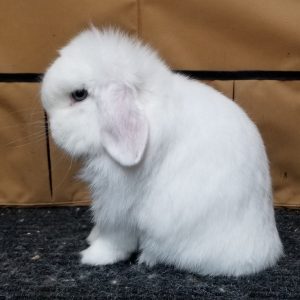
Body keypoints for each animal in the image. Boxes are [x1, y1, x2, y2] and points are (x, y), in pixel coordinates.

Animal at [41, 27, 282, 276]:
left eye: (79, 94)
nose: (54, 132)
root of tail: (265, 253)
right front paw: (92, 237)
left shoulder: (118, 201)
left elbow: (115, 238)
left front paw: (93, 256)